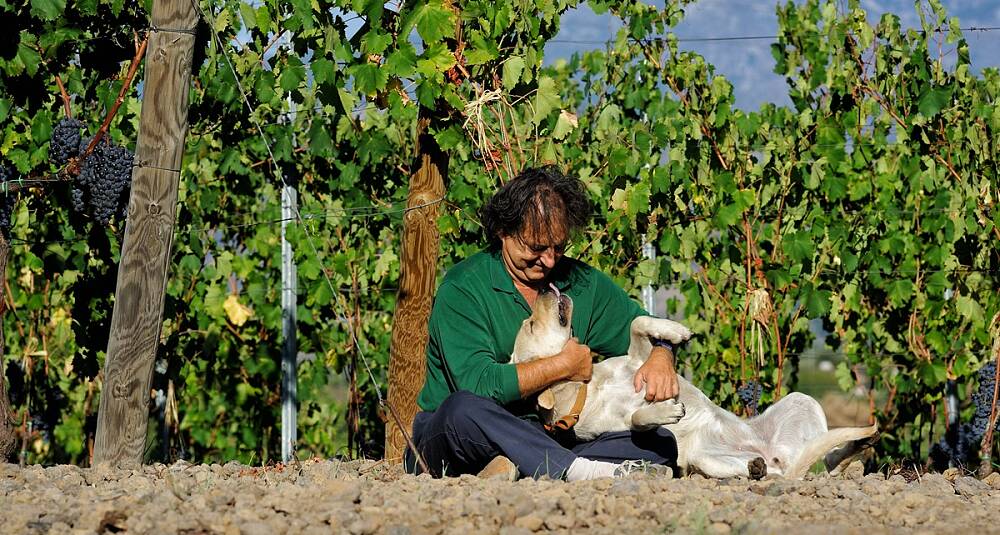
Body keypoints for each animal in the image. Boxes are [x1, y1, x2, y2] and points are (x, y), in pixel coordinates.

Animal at [512, 292, 880, 480]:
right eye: (530, 325)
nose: (545, 288)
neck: (588, 387)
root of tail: (778, 456)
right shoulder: (621, 425)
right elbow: (637, 418)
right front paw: (664, 410)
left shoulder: (638, 361)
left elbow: (638, 323)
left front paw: (674, 331)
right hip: (704, 459)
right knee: (779, 473)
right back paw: (757, 469)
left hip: (804, 401)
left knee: (827, 459)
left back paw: (854, 452)